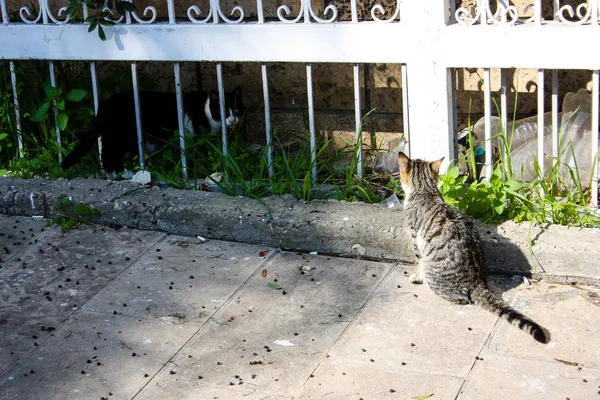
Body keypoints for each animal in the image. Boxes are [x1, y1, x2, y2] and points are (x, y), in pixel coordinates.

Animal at [396, 152, 552, 342]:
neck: (425, 189)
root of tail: (478, 283)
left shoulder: (414, 235)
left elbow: (417, 260)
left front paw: (416, 277)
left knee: (461, 299)